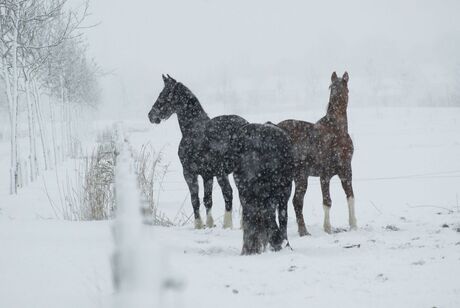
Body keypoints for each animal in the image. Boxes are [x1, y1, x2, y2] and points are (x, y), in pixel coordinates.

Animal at [147, 74, 248, 229]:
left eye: (164, 94)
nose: (151, 115)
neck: (193, 128)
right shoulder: (207, 175)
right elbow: (207, 200)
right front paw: (210, 224)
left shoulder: (189, 173)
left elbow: (195, 199)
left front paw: (199, 225)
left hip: (222, 173)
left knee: (228, 193)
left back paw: (227, 225)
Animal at [276, 72, 356, 236]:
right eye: (331, 87)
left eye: (343, 86)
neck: (336, 131)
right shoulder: (325, 175)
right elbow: (327, 201)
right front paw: (328, 228)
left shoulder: (346, 171)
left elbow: (350, 197)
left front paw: (353, 226)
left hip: (298, 177)